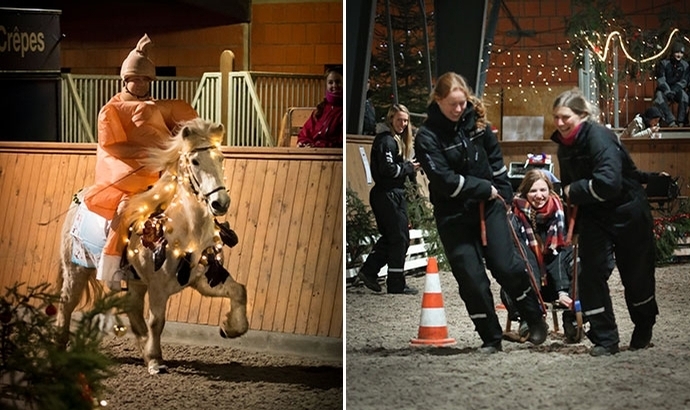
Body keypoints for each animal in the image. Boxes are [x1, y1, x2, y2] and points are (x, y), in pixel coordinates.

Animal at [56, 117, 249, 374]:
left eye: (220, 158)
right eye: (195, 161)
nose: (220, 203)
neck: (187, 230)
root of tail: (79, 198)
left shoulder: (205, 278)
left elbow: (239, 291)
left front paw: (230, 327)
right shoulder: (158, 286)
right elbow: (157, 321)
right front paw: (157, 360)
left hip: (135, 281)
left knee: (133, 311)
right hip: (76, 270)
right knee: (66, 304)